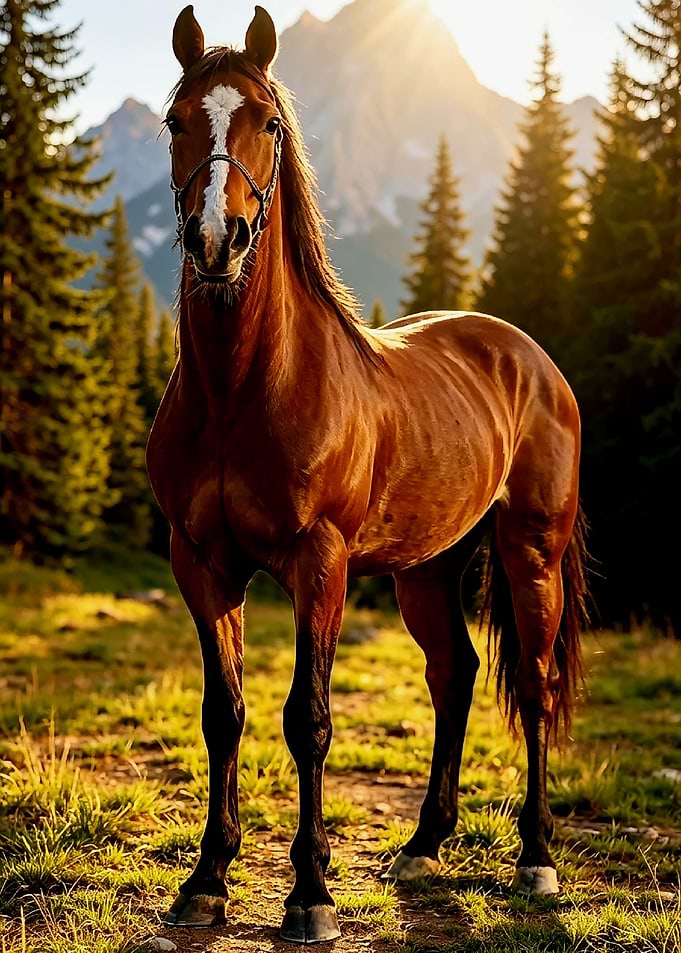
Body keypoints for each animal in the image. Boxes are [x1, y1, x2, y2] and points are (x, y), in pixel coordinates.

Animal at [146, 4, 588, 944]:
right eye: (175, 121)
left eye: (268, 123)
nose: (215, 240)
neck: (243, 387)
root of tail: (531, 359)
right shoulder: (201, 564)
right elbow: (222, 714)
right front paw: (206, 878)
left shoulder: (320, 564)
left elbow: (307, 718)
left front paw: (310, 894)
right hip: (427, 570)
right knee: (454, 675)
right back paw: (423, 844)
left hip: (529, 553)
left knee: (533, 687)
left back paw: (535, 858)